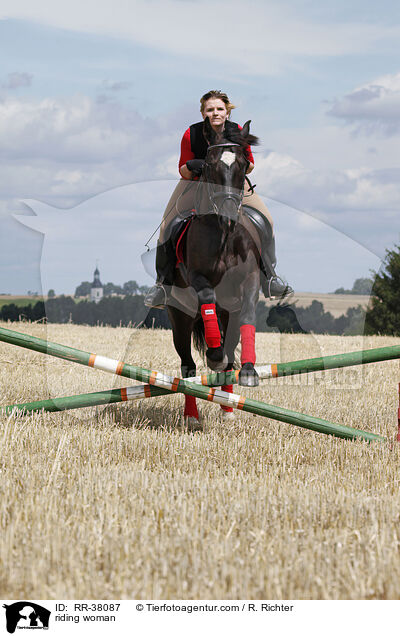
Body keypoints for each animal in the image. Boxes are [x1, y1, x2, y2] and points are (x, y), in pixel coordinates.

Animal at [167, 119, 260, 428]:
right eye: (209, 165)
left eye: (243, 164)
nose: (229, 215)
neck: (224, 236)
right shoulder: (197, 277)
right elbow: (207, 294)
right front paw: (214, 354)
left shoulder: (250, 281)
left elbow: (249, 312)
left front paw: (249, 371)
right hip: (179, 318)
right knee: (188, 367)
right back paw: (192, 416)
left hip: (228, 314)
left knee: (230, 353)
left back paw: (228, 405)